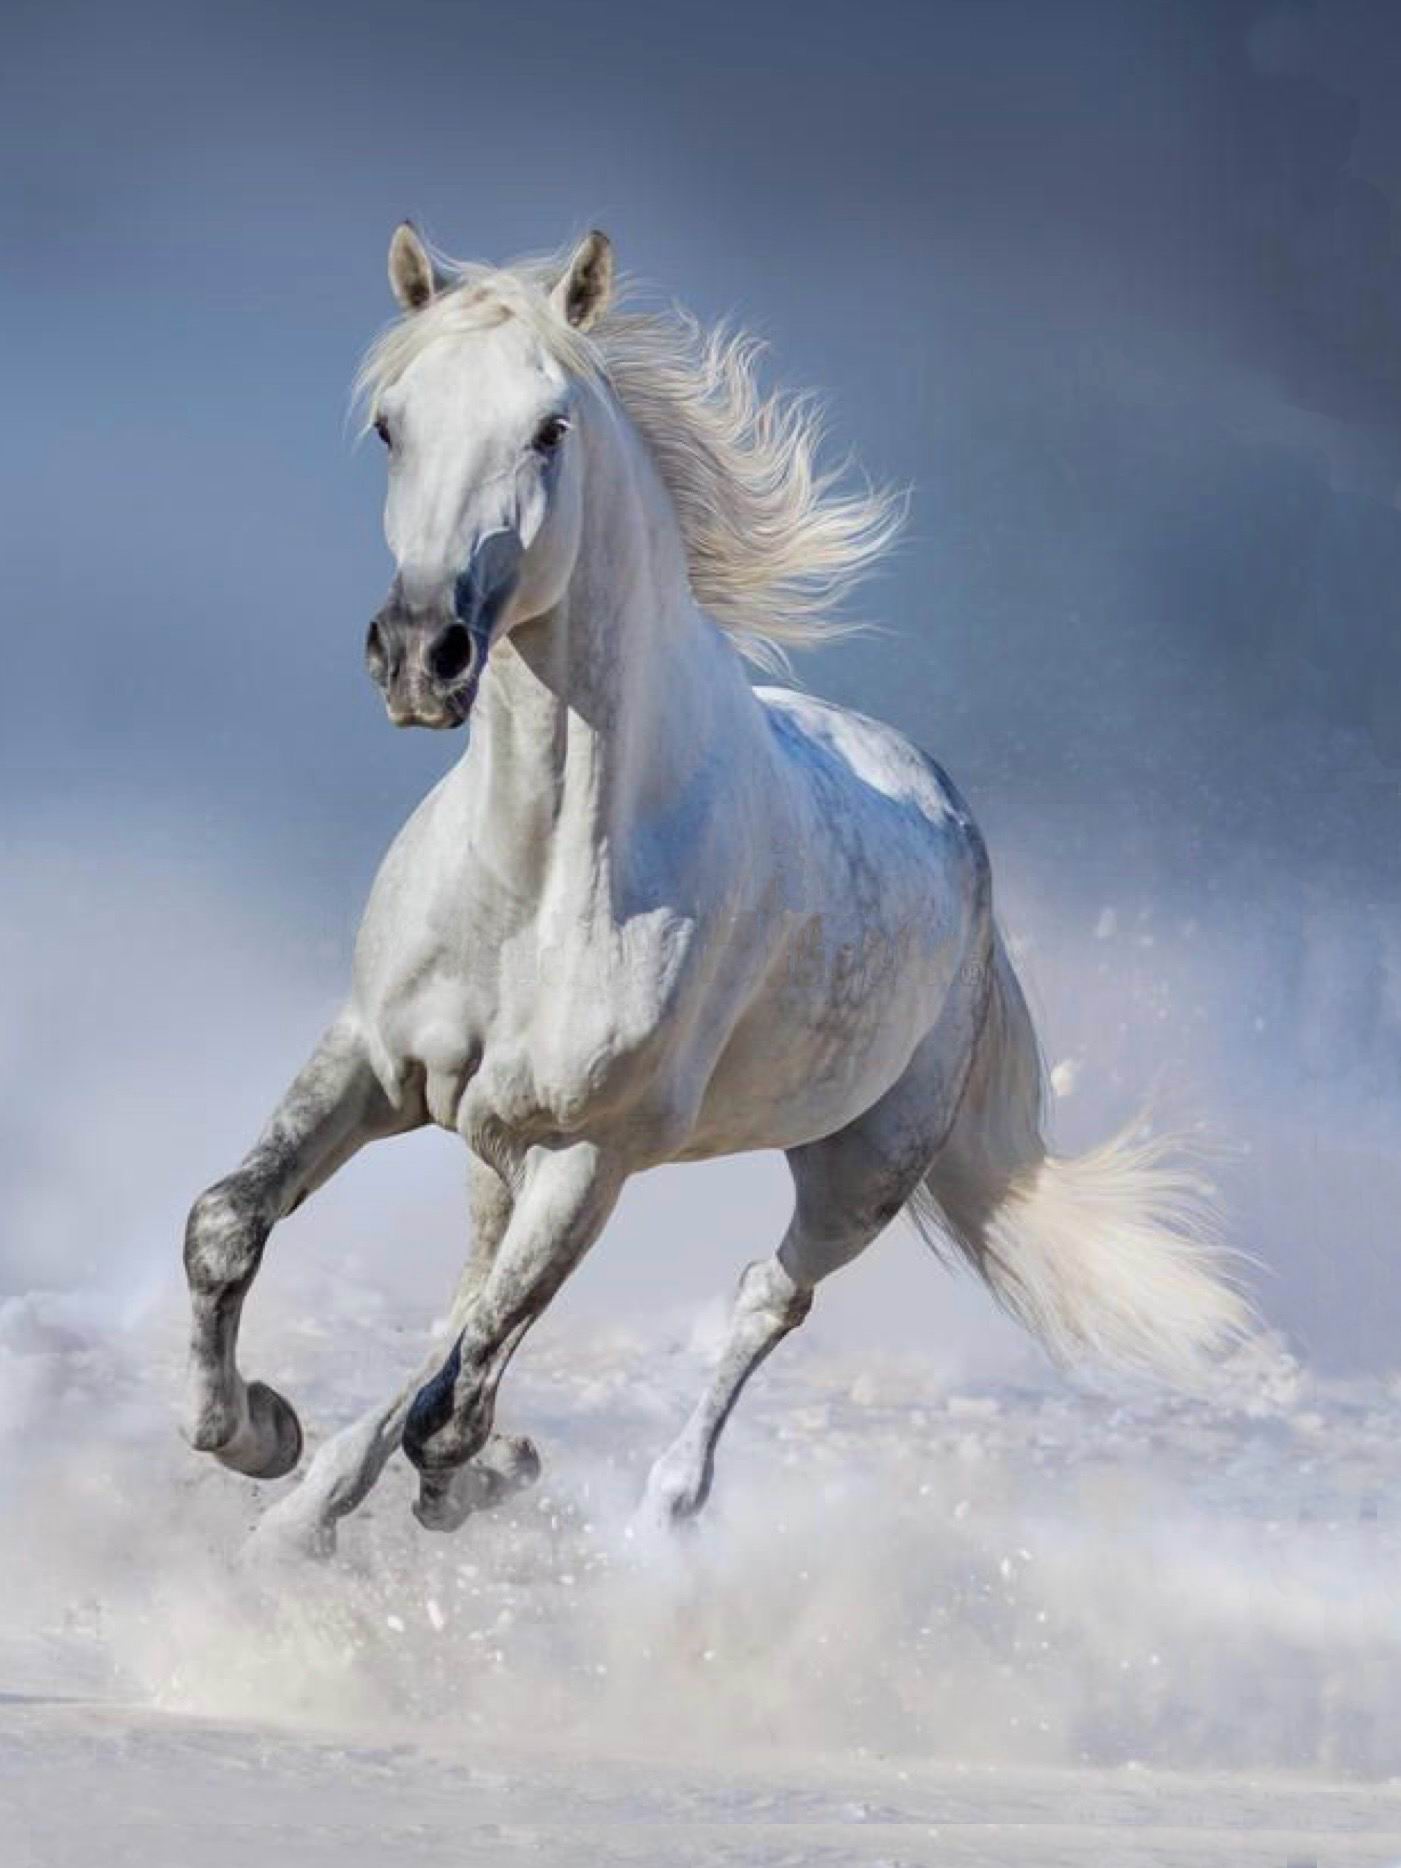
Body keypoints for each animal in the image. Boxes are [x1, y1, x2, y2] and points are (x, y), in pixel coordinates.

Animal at [182, 226, 1247, 1558]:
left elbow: (457, 1398)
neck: (538, 875)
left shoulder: (591, 1154)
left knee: (761, 1300)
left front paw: (459, 1476)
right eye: (391, 422)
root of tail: (957, 829)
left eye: (549, 428)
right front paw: (257, 1435)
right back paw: (316, 1499)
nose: (421, 653)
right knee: (468, 1293)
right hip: (501, 1142)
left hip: (858, 1173)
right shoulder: (375, 1059)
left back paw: (660, 1508)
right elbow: (230, 1224)